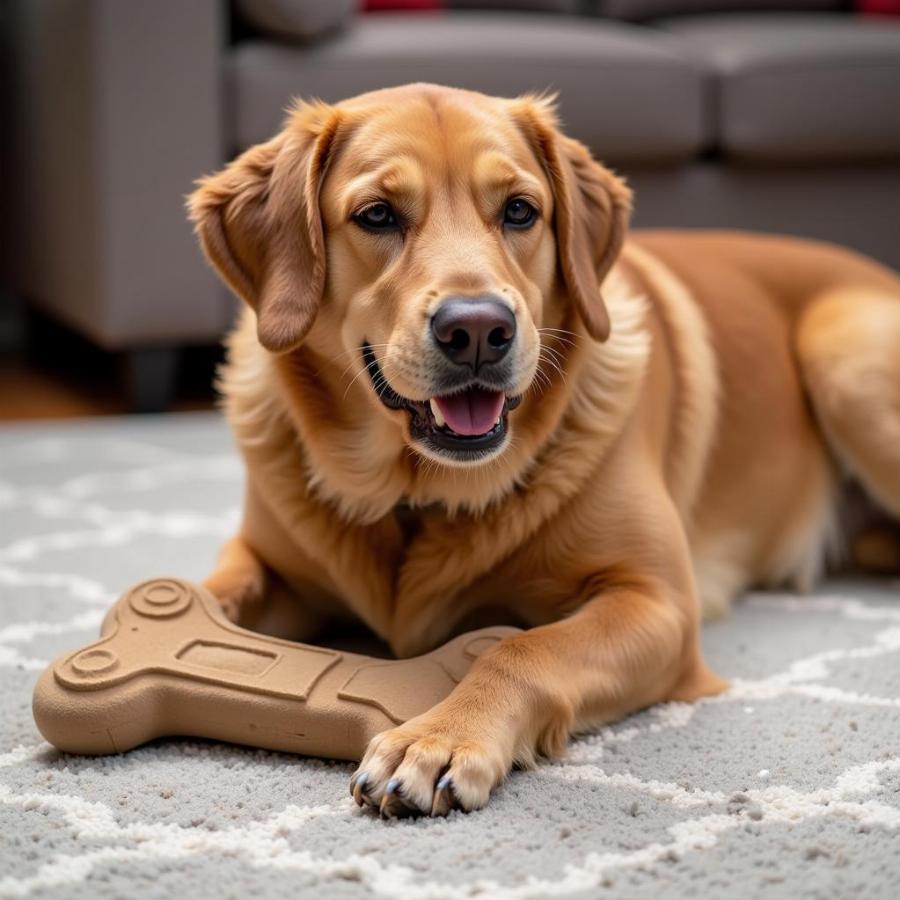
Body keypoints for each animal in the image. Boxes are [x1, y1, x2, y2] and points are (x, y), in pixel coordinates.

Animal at [186, 82, 896, 816]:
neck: (417, 493)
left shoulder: (659, 603)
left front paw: (438, 737)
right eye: (377, 215)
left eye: (520, 211)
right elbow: (210, 591)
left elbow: (522, 651)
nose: (477, 329)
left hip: (845, 358)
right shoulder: (266, 562)